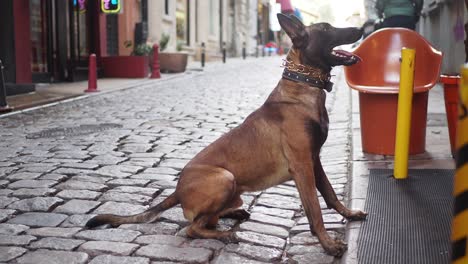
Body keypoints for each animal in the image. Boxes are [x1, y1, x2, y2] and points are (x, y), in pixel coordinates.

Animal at [86, 13, 368, 256]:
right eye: (326, 29)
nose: (362, 27)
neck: (303, 87)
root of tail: (178, 190)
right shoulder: (302, 166)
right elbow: (315, 209)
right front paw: (328, 244)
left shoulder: (314, 160)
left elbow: (329, 194)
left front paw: (348, 214)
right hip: (225, 178)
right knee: (193, 228)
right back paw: (225, 234)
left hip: (234, 191)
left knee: (208, 218)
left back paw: (234, 215)